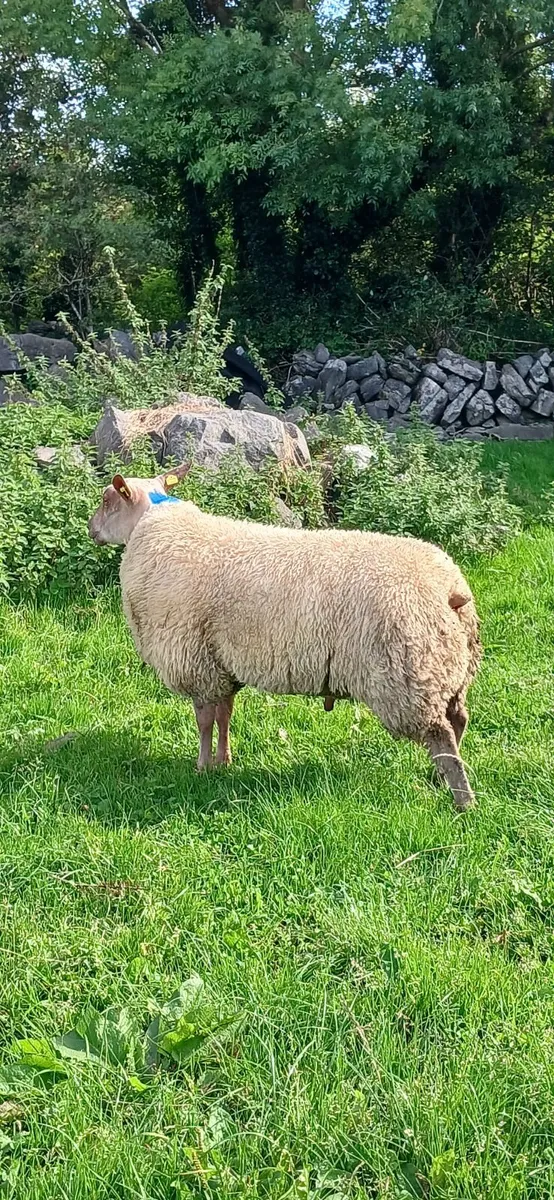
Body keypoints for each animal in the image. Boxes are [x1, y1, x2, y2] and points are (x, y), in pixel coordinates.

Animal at [88, 464, 481, 810]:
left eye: (107, 500)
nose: (90, 529)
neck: (153, 525)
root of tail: (449, 588)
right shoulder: (222, 664)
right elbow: (224, 716)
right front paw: (223, 762)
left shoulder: (194, 661)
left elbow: (204, 721)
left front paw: (201, 767)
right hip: (448, 667)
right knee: (458, 719)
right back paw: (438, 779)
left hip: (408, 674)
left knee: (441, 734)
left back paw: (463, 801)